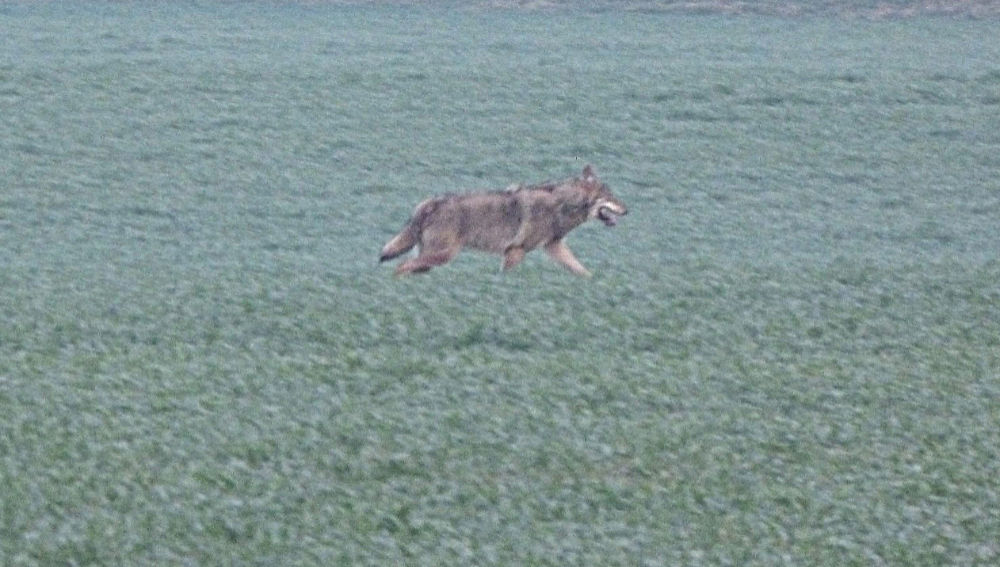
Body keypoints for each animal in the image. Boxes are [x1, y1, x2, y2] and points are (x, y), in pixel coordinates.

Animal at [379, 165, 627, 277]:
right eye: (611, 197)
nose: (627, 210)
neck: (563, 204)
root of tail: (429, 203)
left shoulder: (553, 246)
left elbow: (581, 270)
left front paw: (594, 284)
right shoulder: (516, 251)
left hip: (431, 261)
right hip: (442, 256)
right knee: (401, 266)